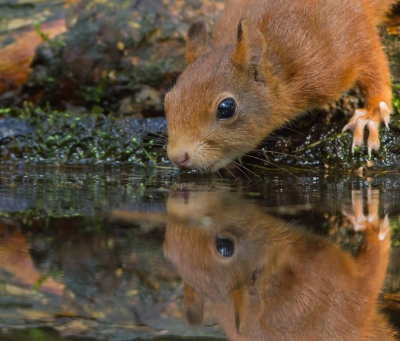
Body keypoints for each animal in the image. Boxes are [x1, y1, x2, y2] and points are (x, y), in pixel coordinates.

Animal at [165, 0, 394, 170]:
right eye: (167, 100)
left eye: (226, 108)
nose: (177, 157)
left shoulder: (343, 41)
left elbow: (372, 61)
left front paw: (370, 116)